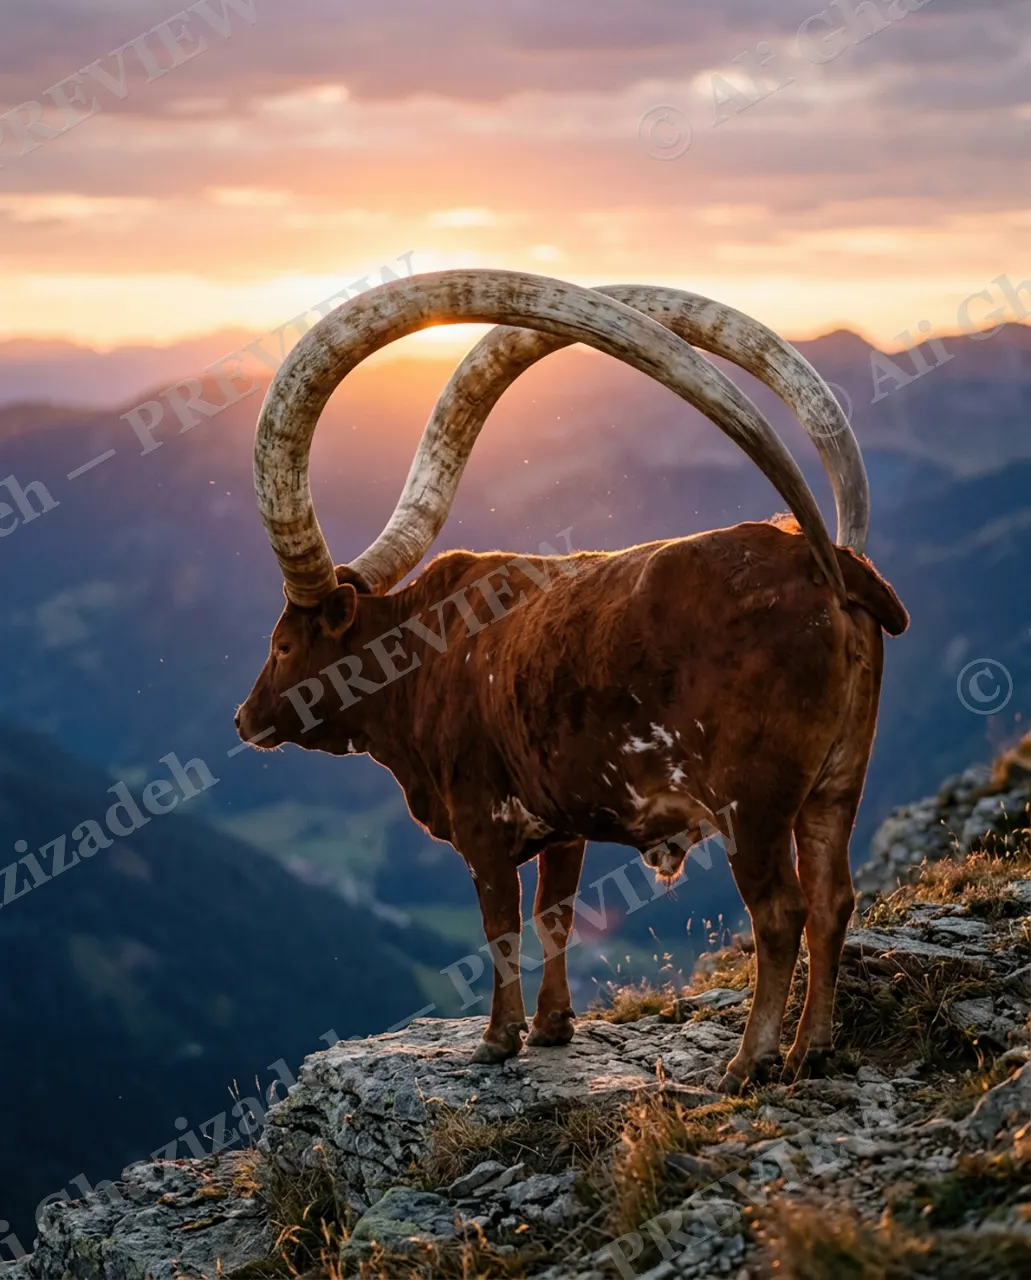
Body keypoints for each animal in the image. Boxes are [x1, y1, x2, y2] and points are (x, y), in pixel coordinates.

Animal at [234, 271, 907, 1093]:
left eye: (283, 642)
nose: (244, 719)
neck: (423, 657)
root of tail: (829, 562)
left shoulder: (482, 824)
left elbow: (498, 924)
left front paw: (496, 1040)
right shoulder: (563, 823)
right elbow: (555, 914)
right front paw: (554, 1027)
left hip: (753, 802)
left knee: (779, 911)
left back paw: (748, 1061)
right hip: (835, 785)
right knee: (831, 897)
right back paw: (813, 1047)